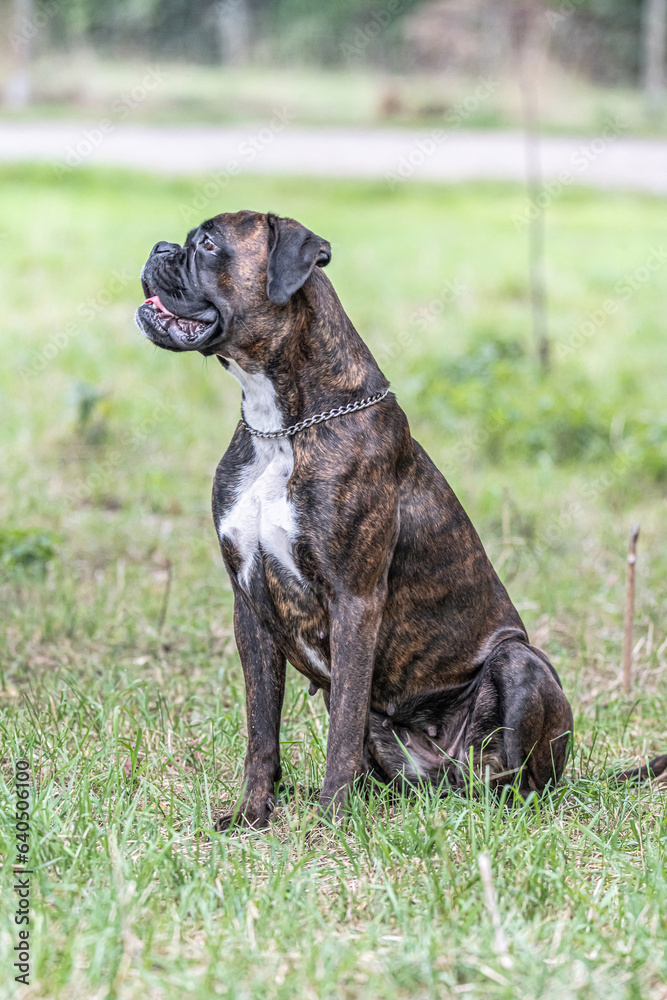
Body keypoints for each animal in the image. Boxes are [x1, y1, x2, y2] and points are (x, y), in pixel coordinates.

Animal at [134, 209, 664, 828]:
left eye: (208, 244)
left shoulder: (354, 601)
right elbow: (261, 731)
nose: (159, 247)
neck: (282, 424)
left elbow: (340, 732)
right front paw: (250, 816)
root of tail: (451, 774)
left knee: (520, 779)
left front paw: (329, 822)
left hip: (519, 662)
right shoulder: (251, 608)